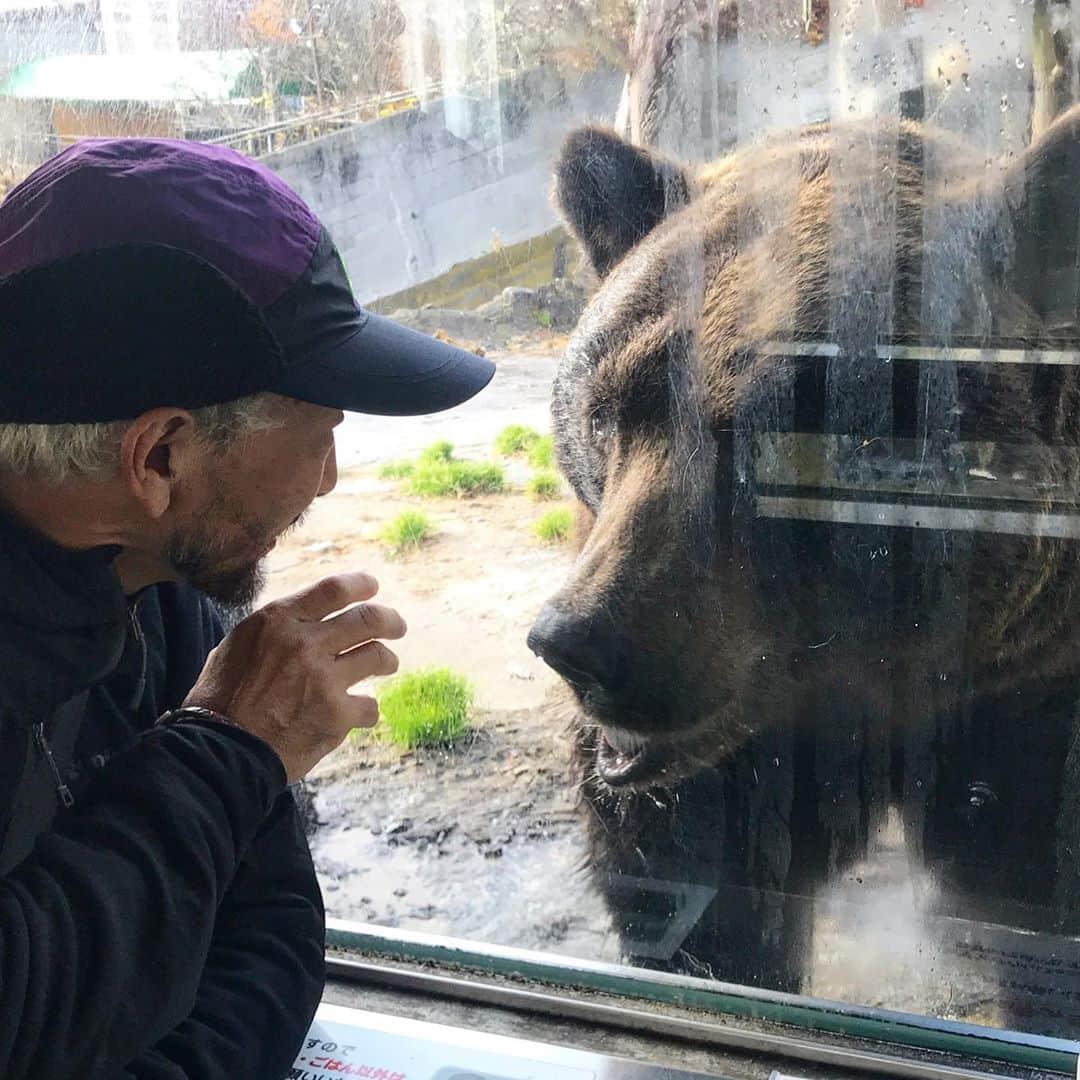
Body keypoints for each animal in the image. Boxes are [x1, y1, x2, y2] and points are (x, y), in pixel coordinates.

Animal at [527, 111, 1080, 1028]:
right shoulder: (736, 753)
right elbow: (700, 891)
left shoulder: (1027, 691)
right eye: (606, 415)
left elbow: (1035, 893)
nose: (580, 642)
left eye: (787, 435)